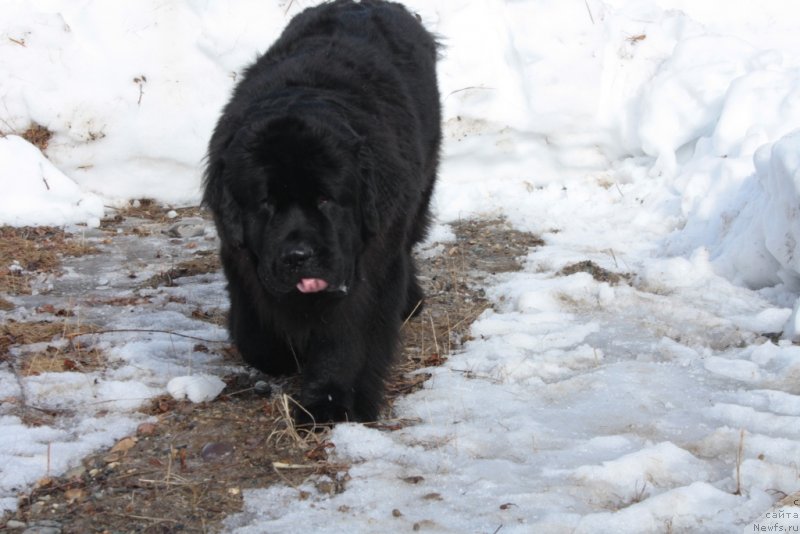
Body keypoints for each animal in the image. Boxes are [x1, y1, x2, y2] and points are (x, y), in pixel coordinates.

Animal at [200, 1, 438, 428]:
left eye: (327, 199)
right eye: (266, 203)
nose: (299, 256)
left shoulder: (368, 269)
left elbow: (346, 339)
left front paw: (328, 402)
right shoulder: (239, 259)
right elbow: (255, 336)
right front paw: (284, 355)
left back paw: (410, 301)